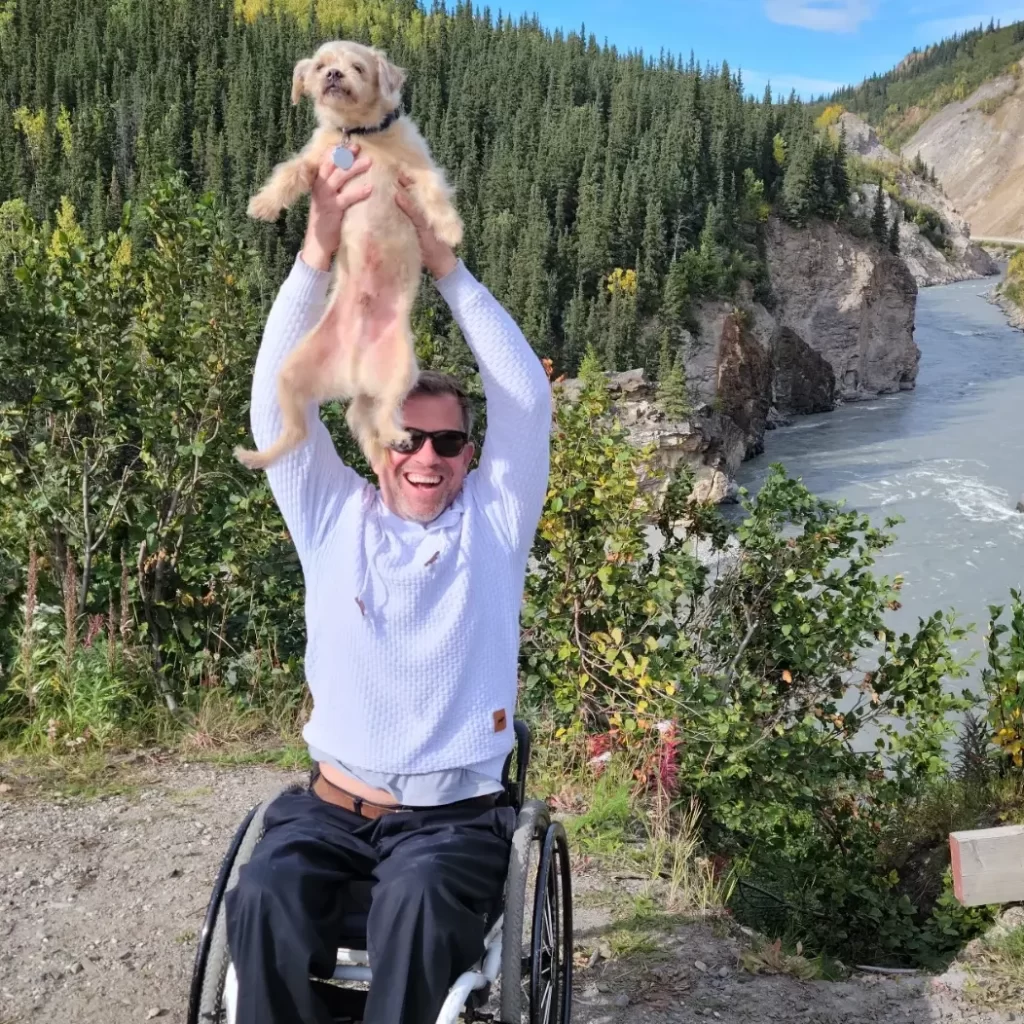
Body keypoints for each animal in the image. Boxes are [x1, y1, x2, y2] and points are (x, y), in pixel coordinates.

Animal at [234, 38, 462, 471]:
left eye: (357, 66)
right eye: (320, 65)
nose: (334, 74)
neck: (358, 134)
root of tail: (353, 373)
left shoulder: (418, 167)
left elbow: (434, 193)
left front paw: (450, 229)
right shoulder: (315, 163)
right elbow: (289, 171)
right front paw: (264, 204)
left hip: (402, 371)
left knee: (385, 412)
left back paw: (395, 435)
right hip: (289, 375)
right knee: (298, 431)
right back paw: (258, 455)